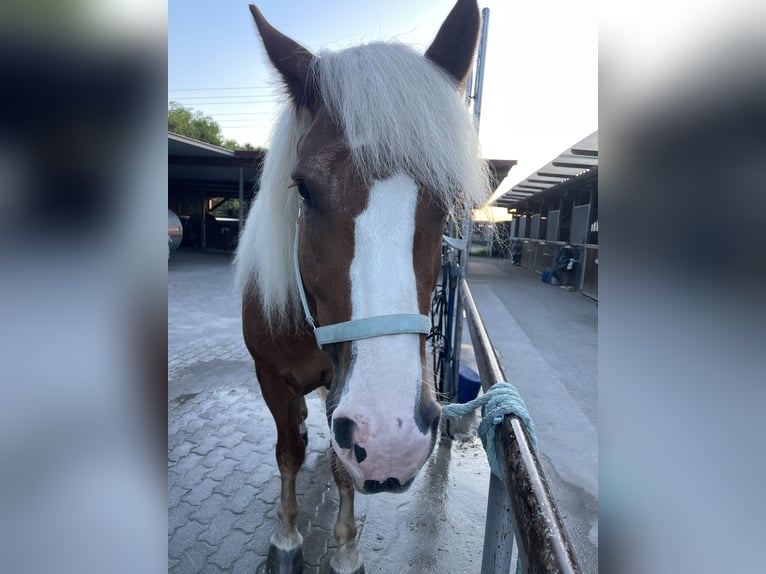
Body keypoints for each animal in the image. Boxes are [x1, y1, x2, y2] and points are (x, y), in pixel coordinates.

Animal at [234, 1, 490, 572]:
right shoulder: (270, 378)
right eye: (304, 188)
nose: (392, 438)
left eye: (450, 199)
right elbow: (288, 450)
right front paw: (287, 537)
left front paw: (346, 551)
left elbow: (339, 468)